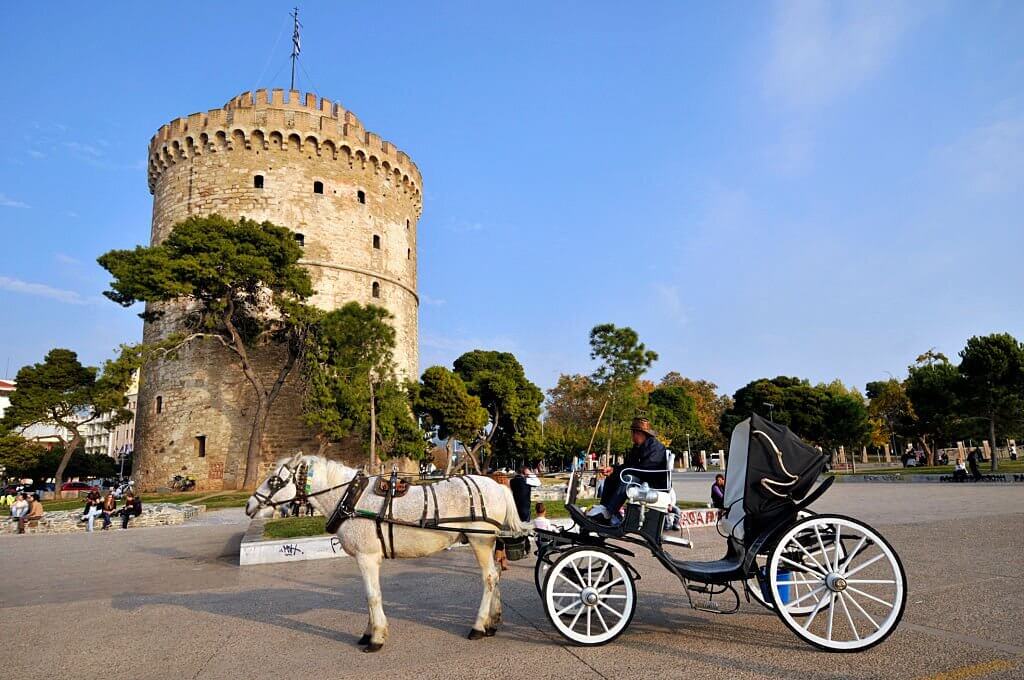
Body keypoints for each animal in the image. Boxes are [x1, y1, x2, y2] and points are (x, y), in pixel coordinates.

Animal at [244, 454, 524, 651]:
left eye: (274, 480)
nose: (248, 505)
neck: (351, 499)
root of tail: (497, 484)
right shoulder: (366, 559)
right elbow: (370, 595)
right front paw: (369, 632)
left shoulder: (367, 558)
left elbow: (372, 596)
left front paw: (376, 637)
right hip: (489, 542)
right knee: (495, 576)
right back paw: (493, 621)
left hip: (480, 540)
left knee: (488, 578)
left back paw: (478, 626)